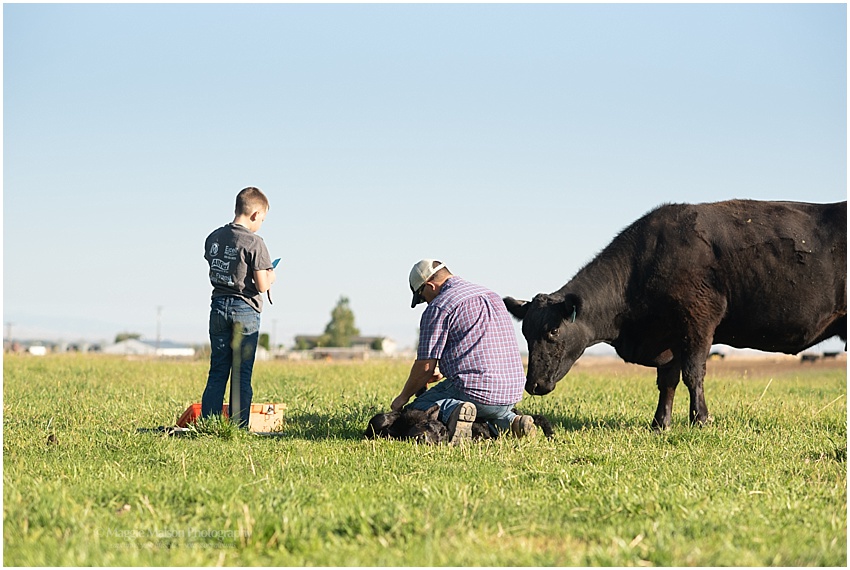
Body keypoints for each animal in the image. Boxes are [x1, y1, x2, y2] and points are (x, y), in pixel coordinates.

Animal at [504, 199, 846, 430]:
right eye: (525, 334)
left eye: (552, 331)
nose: (533, 384)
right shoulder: (668, 336)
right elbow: (666, 380)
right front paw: (660, 423)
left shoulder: (698, 320)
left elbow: (693, 373)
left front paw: (701, 420)